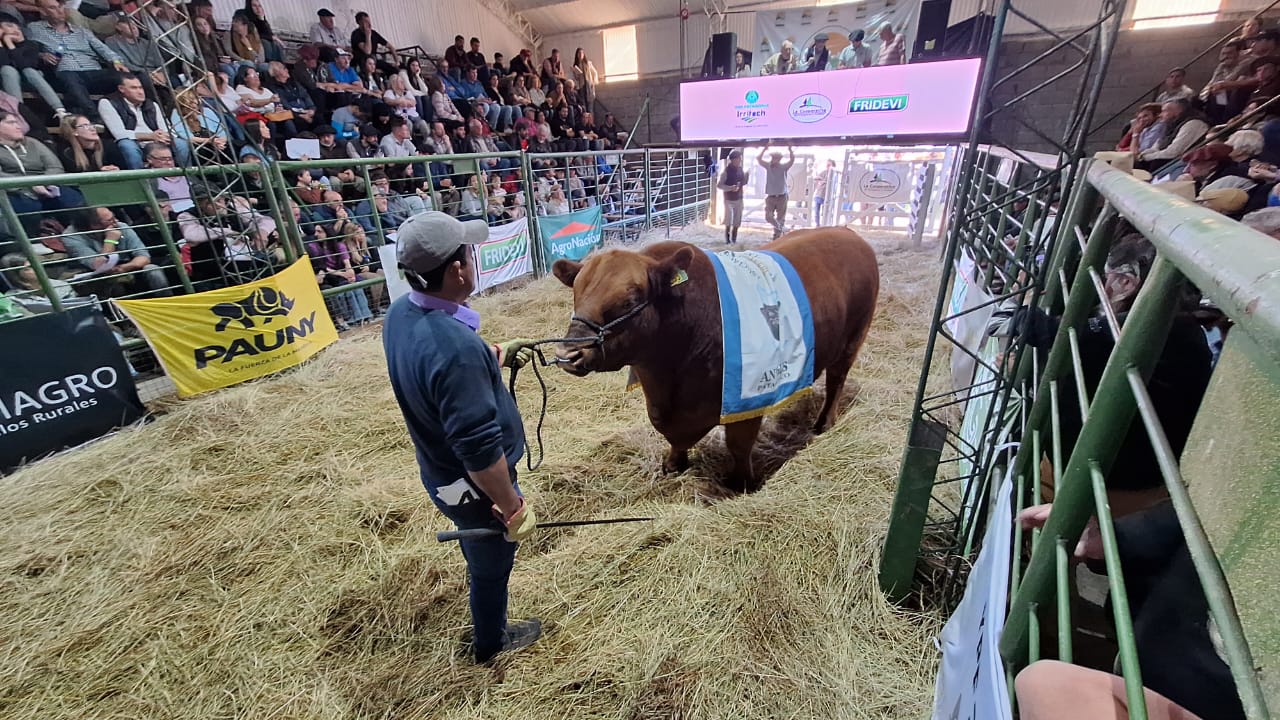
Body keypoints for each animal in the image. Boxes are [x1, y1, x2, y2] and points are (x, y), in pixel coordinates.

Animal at [550, 226, 880, 489]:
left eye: (630, 300)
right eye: (576, 293)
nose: (568, 353)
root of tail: (847, 233)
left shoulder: (749, 398)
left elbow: (739, 444)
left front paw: (741, 483)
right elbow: (673, 439)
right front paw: (673, 465)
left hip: (854, 337)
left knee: (837, 379)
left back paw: (823, 423)